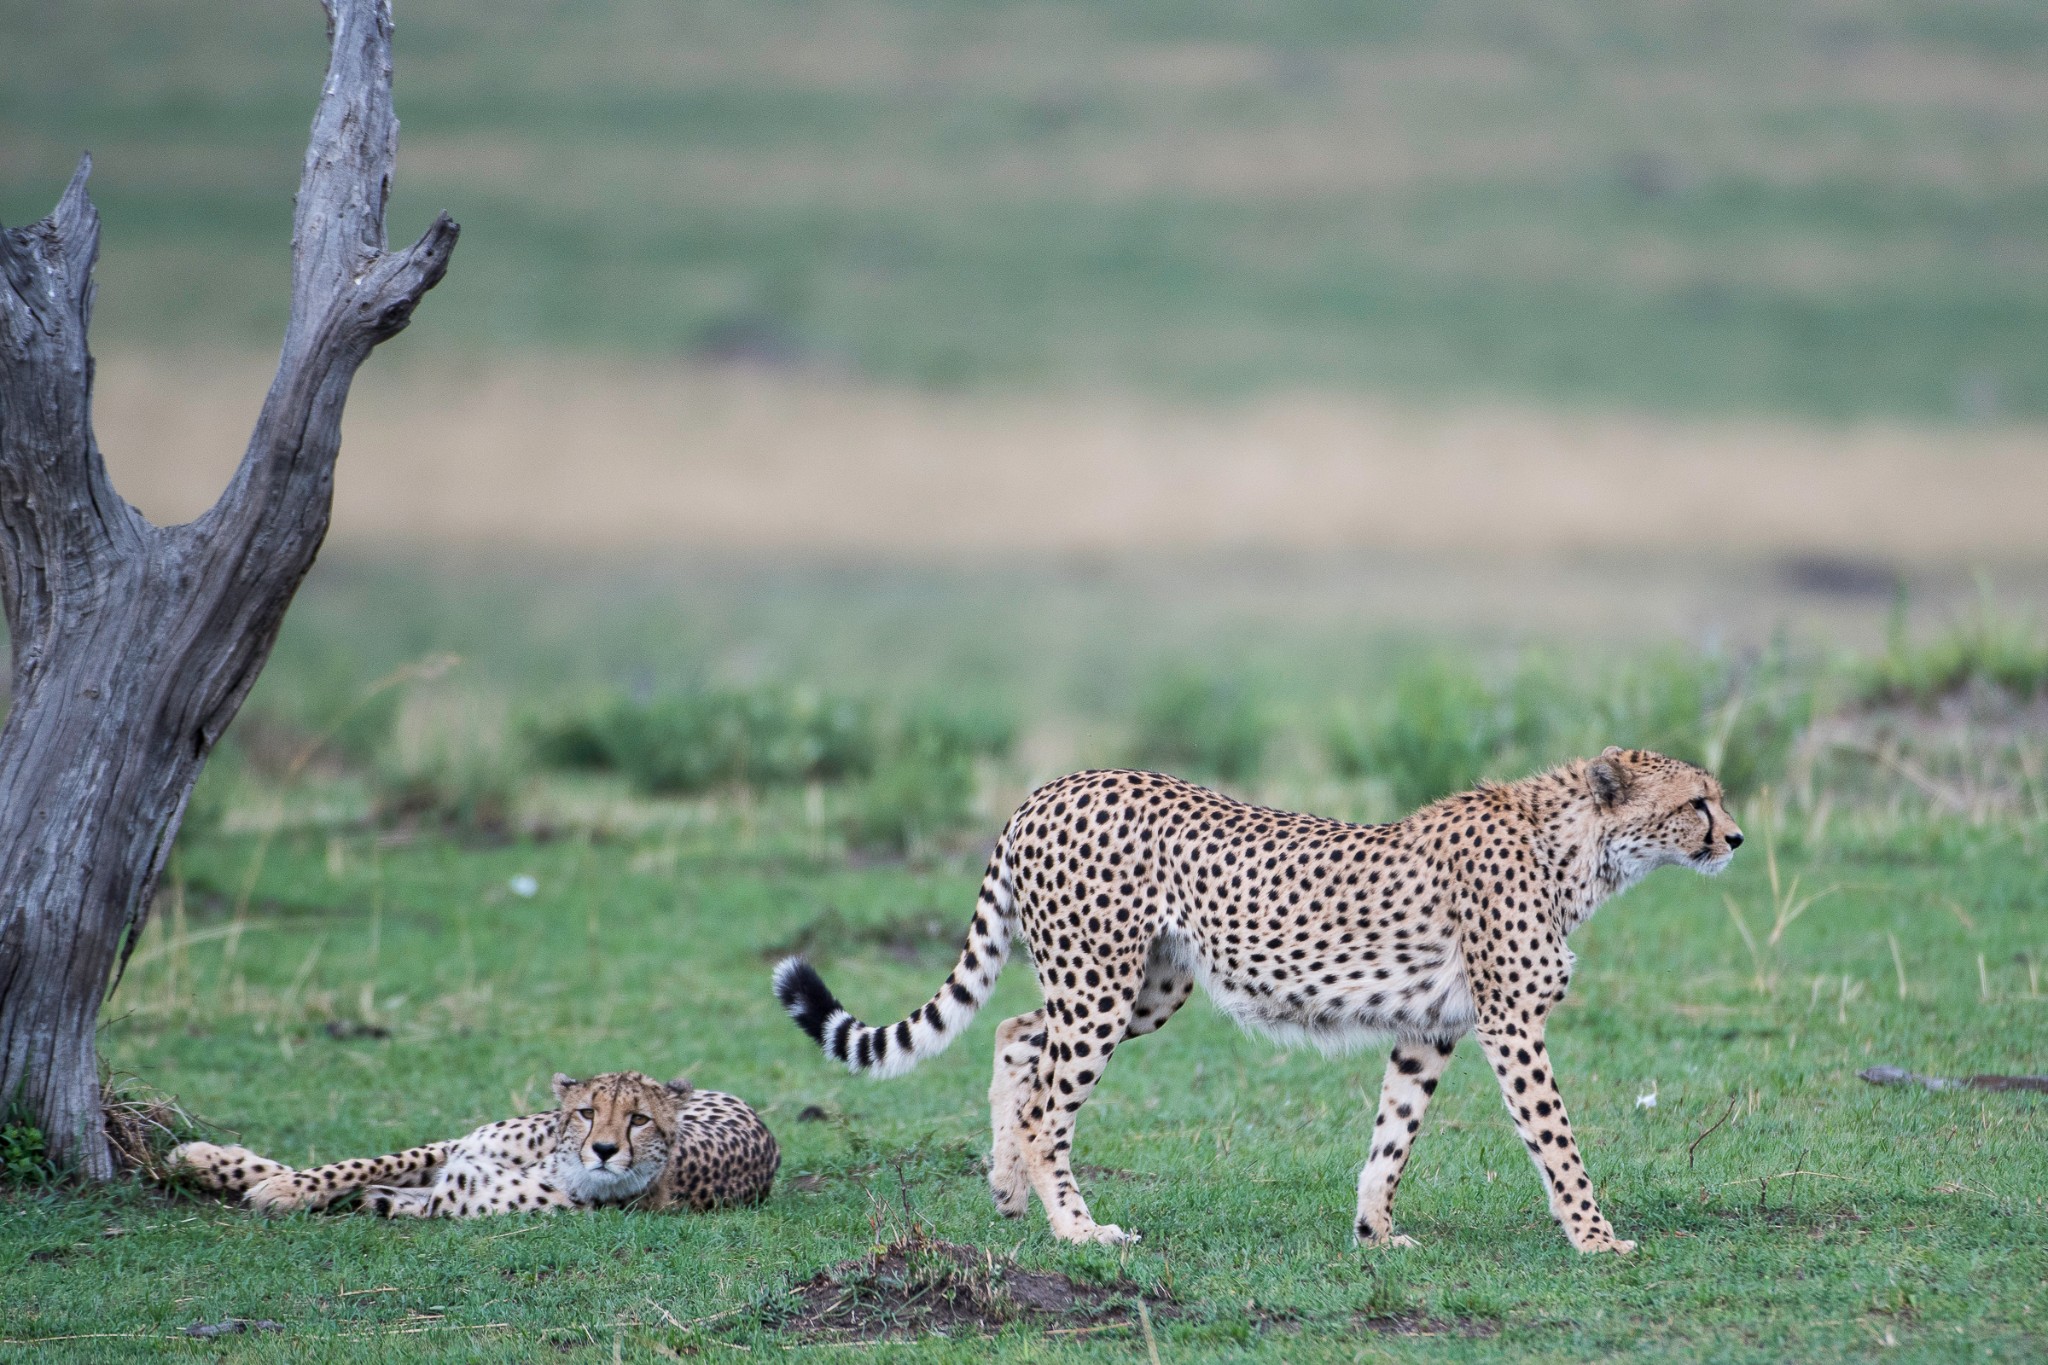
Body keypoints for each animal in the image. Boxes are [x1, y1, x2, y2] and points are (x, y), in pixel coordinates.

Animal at [774, 753, 1736, 1252]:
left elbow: (1393, 1135)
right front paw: (1597, 1236)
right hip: (1101, 984)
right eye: (1698, 800)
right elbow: (1556, 1138)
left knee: (1017, 1031)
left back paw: (1011, 1192)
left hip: (1142, 985)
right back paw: (1078, 1228)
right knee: (1052, 1100)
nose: (1733, 836)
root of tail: (1054, 784)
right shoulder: (1511, 1024)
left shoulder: (1429, 1029)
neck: (1578, 848)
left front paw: (1374, 1230)